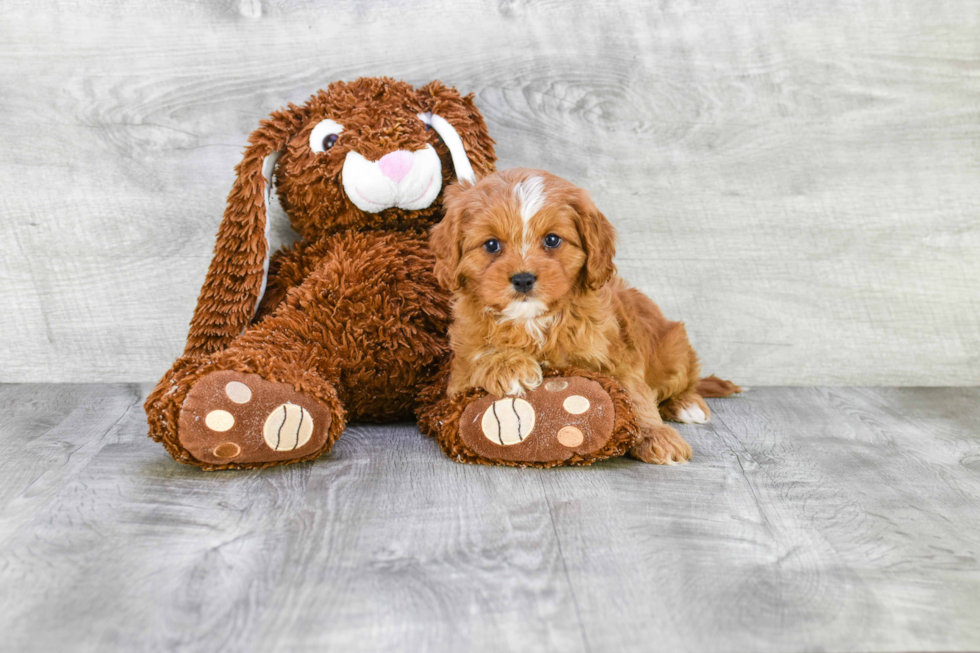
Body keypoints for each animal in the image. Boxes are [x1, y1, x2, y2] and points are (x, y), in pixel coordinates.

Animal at [432, 168, 740, 464]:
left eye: (552, 240)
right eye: (491, 245)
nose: (523, 279)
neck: (535, 320)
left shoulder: (619, 355)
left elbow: (635, 395)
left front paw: (656, 435)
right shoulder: (458, 375)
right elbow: (477, 355)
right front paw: (510, 366)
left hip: (672, 351)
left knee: (683, 381)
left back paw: (687, 404)